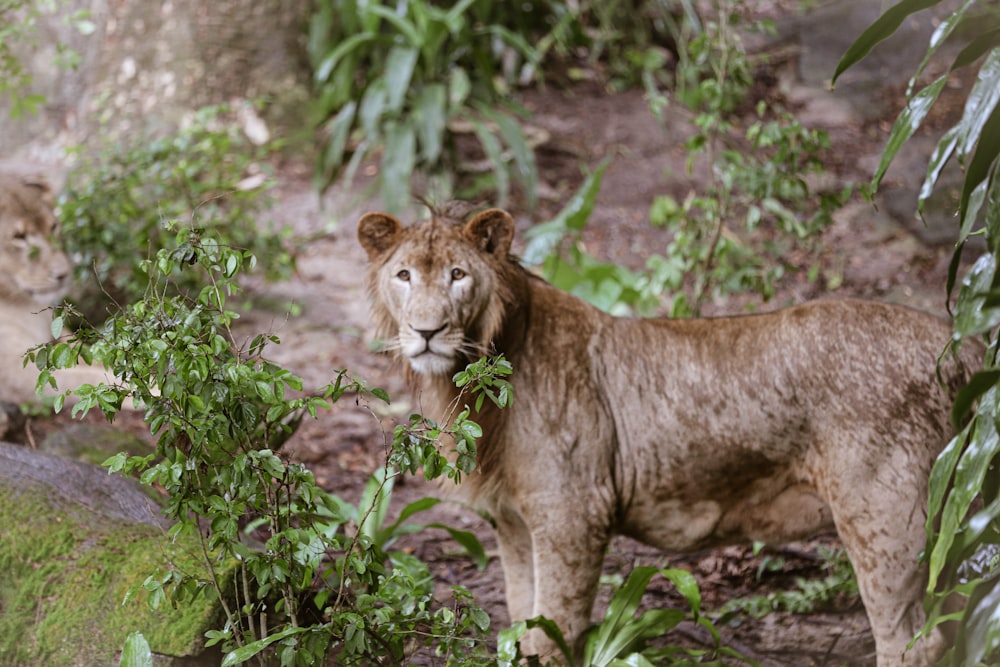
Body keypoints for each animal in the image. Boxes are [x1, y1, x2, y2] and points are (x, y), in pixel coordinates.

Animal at [358, 205, 976, 667]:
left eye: (458, 275)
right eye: (404, 275)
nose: (427, 331)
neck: (475, 382)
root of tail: (953, 340)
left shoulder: (572, 513)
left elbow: (555, 633)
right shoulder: (514, 522)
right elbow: (523, 624)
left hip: (884, 517)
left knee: (915, 642)